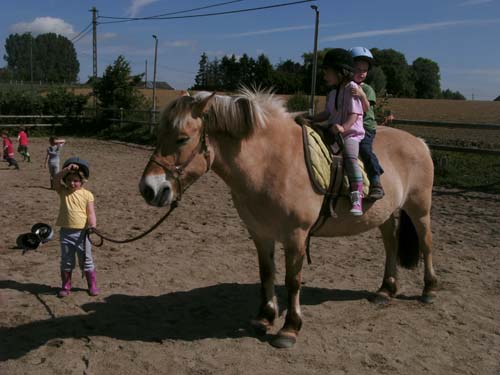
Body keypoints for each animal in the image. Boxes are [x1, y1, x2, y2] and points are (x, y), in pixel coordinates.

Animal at [139, 88, 436, 350]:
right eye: (160, 134)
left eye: (181, 138)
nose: (149, 189)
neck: (270, 162)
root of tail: (419, 142)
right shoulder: (260, 233)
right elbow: (266, 273)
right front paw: (265, 317)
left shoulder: (296, 235)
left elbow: (293, 281)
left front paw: (289, 329)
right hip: (385, 214)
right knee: (391, 245)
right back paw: (386, 290)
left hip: (420, 208)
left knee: (426, 243)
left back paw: (429, 290)